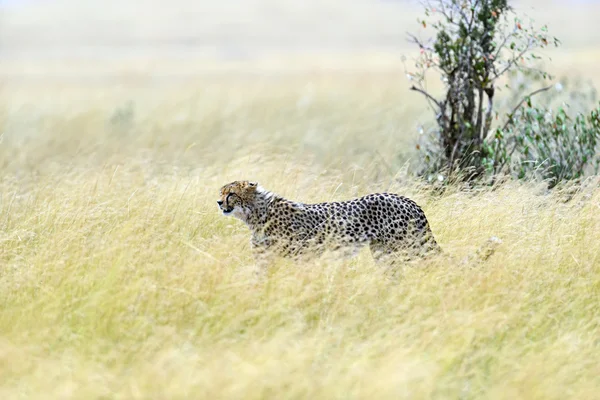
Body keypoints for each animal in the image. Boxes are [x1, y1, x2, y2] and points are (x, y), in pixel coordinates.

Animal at [218, 181, 442, 266]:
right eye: (221, 193)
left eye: (231, 194)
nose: (219, 203)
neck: (256, 214)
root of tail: (406, 199)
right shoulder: (264, 259)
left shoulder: (303, 256)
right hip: (383, 252)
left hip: (407, 247)